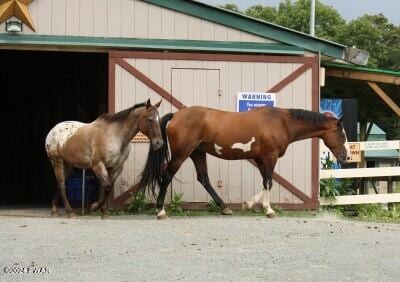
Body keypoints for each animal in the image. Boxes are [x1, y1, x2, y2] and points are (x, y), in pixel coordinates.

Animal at [138, 106, 350, 218]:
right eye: (341, 134)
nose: (346, 157)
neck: (281, 122)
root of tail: (176, 115)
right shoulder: (270, 156)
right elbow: (269, 182)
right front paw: (268, 209)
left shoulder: (260, 158)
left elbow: (265, 182)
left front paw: (249, 204)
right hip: (181, 154)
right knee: (167, 176)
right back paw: (160, 211)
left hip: (198, 153)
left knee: (204, 178)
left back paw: (225, 208)